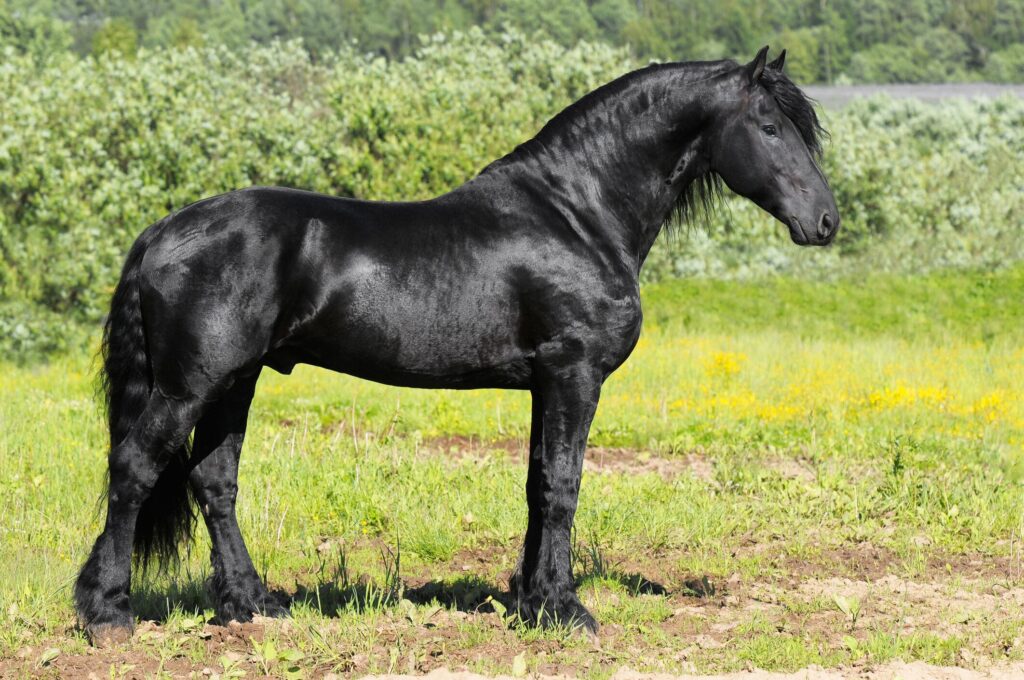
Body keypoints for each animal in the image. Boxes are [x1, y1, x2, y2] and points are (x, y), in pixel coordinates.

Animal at [75, 46, 839, 643]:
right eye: (769, 126)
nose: (826, 221)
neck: (577, 213)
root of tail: (161, 232)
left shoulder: (544, 382)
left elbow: (536, 484)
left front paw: (531, 601)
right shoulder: (574, 374)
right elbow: (563, 486)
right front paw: (566, 611)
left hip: (236, 381)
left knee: (214, 481)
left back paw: (250, 605)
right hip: (191, 385)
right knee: (134, 468)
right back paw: (108, 612)